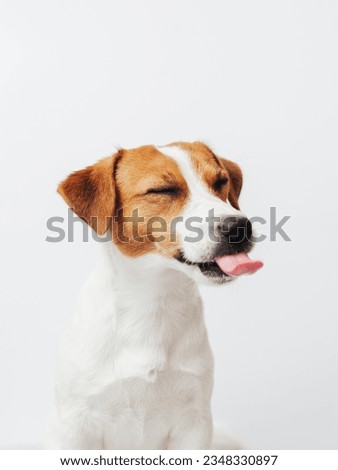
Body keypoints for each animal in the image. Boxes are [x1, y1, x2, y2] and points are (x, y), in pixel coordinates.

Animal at [45, 141, 262, 450]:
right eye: (163, 190)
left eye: (221, 182)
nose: (239, 227)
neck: (154, 300)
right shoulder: (77, 426)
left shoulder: (194, 423)